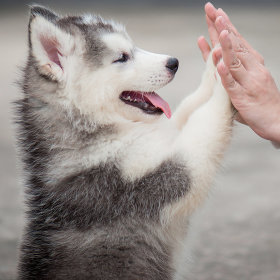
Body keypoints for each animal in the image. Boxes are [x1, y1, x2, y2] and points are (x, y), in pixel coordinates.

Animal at [15, 4, 234, 280]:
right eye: (121, 57)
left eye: (133, 47)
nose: (173, 63)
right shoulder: (153, 178)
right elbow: (205, 121)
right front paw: (227, 76)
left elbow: (188, 108)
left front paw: (215, 63)